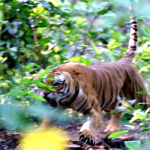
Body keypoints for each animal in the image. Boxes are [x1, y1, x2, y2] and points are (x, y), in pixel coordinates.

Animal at [34, 4, 150, 145]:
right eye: (41, 82)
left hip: (139, 98)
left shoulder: (94, 110)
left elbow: (89, 125)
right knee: (117, 110)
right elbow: (46, 122)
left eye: (56, 84)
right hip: (109, 102)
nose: (45, 93)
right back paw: (112, 129)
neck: (65, 99)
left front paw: (87, 136)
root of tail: (124, 60)